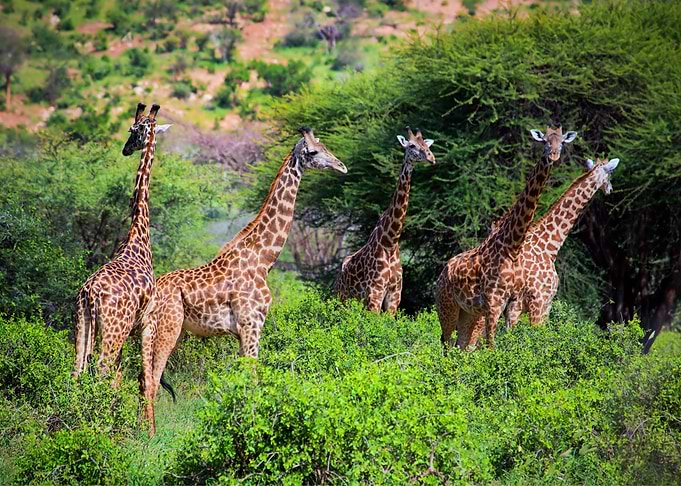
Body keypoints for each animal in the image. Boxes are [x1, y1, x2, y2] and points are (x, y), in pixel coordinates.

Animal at [73, 103, 171, 378]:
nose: (126, 149)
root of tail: (91, 294)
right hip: (114, 329)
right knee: (102, 370)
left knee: (77, 369)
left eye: (133, 130)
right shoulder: (144, 320)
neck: (138, 233)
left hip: (82, 322)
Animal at [140, 127, 346, 434]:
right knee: (152, 379)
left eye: (325, 146)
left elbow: (242, 378)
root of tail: (152, 293)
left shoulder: (241, 331)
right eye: (314, 151)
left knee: (142, 378)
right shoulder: (252, 324)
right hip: (168, 327)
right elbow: (252, 377)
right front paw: (252, 428)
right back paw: (151, 436)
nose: (341, 166)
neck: (264, 259)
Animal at [334, 127, 435, 314]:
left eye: (427, 145)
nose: (431, 158)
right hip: (342, 298)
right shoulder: (375, 292)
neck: (390, 242)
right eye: (411, 145)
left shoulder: (395, 295)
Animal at [436, 126, 577, 350]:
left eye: (562, 142)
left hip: (468, 312)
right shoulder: (494, 302)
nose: (553, 155)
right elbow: (492, 346)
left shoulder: (512, 301)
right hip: (447, 307)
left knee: (461, 344)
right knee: (447, 344)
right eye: (545, 141)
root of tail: (441, 274)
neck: (511, 247)